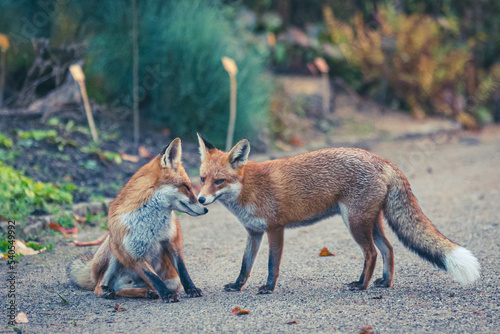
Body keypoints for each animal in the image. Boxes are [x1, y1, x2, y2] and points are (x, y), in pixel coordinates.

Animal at [68, 137, 205, 302]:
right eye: (186, 186)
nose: (205, 208)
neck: (151, 225)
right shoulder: (134, 254)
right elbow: (154, 278)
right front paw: (167, 295)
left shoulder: (173, 241)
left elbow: (183, 271)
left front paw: (191, 289)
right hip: (113, 248)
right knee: (100, 287)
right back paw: (109, 292)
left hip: (171, 280)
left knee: (122, 289)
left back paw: (147, 293)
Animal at [196, 134, 480, 294]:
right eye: (202, 179)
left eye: (219, 181)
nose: (200, 200)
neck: (249, 188)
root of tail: (381, 160)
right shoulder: (254, 232)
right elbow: (245, 265)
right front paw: (237, 286)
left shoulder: (275, 228)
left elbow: (271, 264)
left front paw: (268, 288)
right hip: (369, 222)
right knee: (388, 249)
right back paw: (384, 282)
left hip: (354, 222)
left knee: (372, 253)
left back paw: (361, 285)